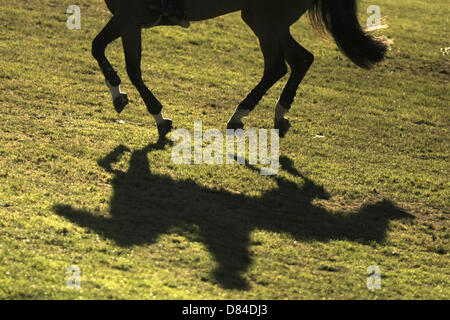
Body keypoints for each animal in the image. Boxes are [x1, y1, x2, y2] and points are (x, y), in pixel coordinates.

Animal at [91, 1, 386, 139]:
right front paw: (152, 113)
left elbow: (100, 49)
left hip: (264, 21)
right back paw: (280, 114)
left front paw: (133, 103)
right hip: (272, 23)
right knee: (301, 59)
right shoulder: (130, 21)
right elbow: (128, 65)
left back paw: (239, 115)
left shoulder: (128, 16)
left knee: (276, 67)